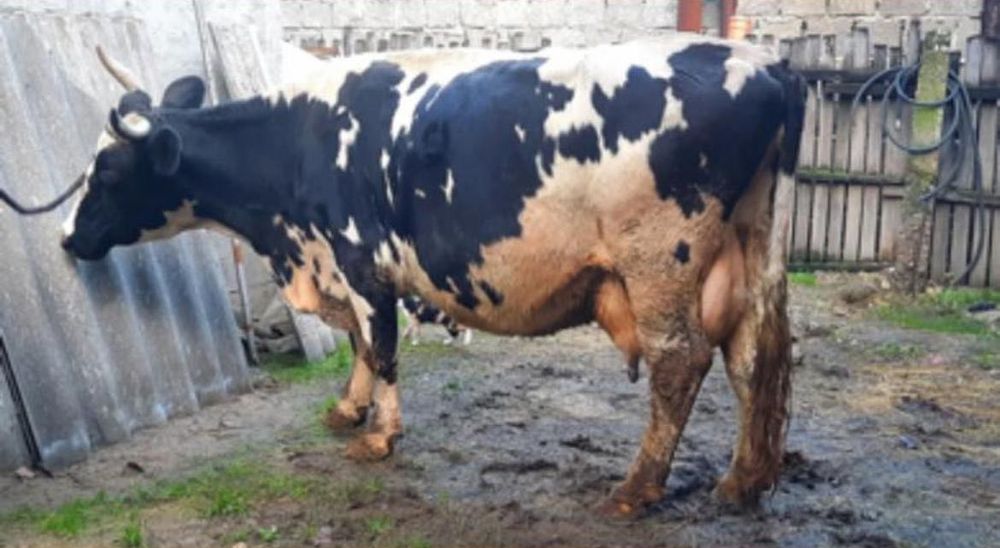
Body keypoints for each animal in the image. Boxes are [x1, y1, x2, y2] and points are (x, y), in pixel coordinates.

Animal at [60, 36, 804, 518]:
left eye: (108, 170)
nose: (66, 236)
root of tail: (766, 64)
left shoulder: (360, 261)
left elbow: (381, 346)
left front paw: (378, 434)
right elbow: (362, 347)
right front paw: (348, 410)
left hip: (658, 259)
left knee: (680, 361)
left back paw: (637, 488)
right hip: (749, 251)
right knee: (751, 358)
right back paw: (743, 481)